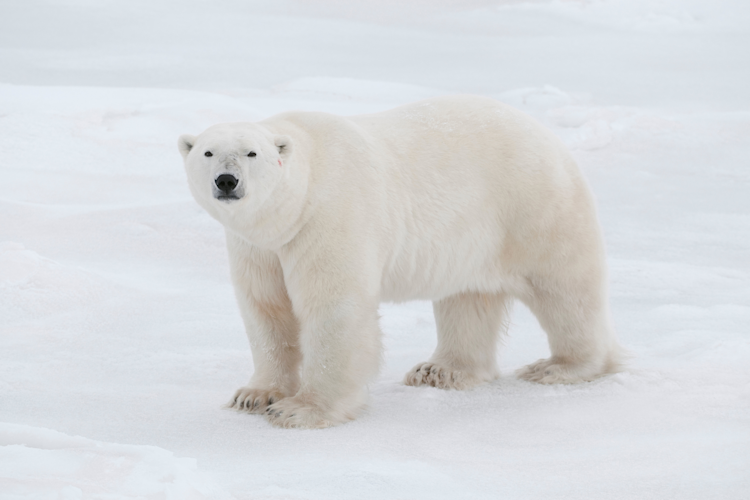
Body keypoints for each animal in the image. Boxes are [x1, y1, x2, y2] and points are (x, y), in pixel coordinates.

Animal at [178, 95, 622, 429]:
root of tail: (547, 135)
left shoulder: (330, 215)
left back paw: (560, 367)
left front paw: (301, 410)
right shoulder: (257, 247)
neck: (297, 202)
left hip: (532, 206)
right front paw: (254, 395)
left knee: (564, 289)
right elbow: (266, 309)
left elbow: (333, 308)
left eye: (252, 153)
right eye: (208, 151)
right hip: (473, 237)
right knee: (467, 299)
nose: (227, 181)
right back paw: (441, 370)